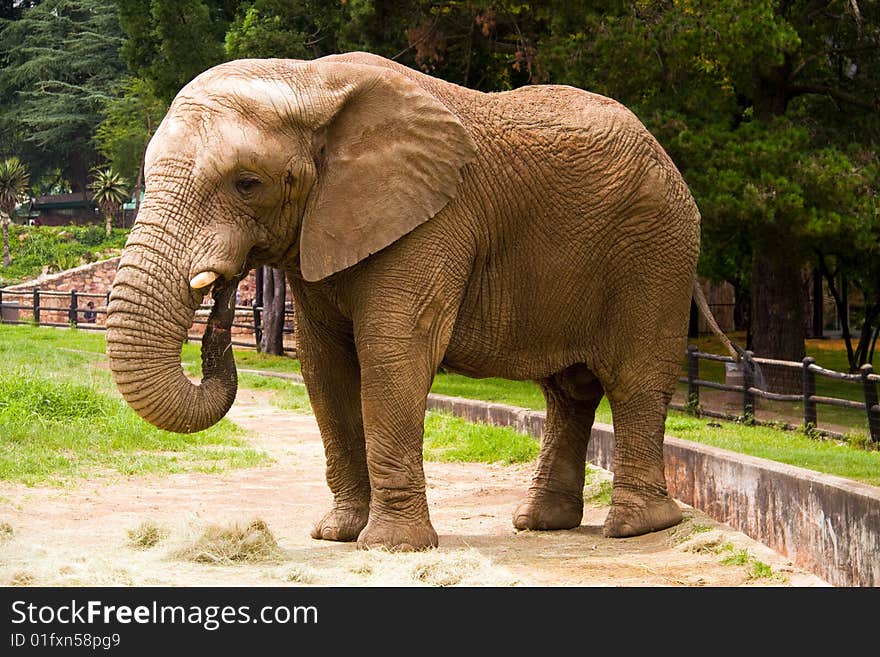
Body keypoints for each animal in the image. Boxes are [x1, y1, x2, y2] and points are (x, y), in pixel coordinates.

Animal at [105, 51, 700, 552]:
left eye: (248, 183)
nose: (222, 288)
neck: (311, 81)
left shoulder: (434, 222)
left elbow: (393, 354)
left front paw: (391, 546)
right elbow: (324, 368)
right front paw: (338, 535)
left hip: (656, 253)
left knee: (634, 381)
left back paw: (636, 528)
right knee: (568, 391)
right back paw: (541, 523)